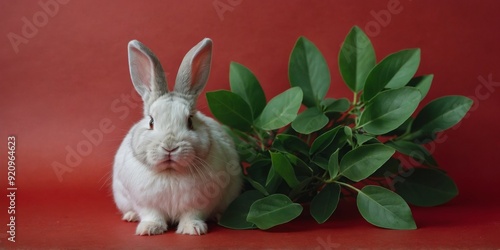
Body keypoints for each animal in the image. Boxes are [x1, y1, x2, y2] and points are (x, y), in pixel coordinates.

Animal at [111, 38, 242, 235]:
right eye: (151, 122)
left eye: (190, 121)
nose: (170, 147)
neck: (171, 173)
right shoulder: (146, 203)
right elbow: (152, 215)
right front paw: (149, 229)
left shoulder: (200, 203)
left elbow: (192, 214)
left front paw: (193, 229)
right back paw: (131, 216)